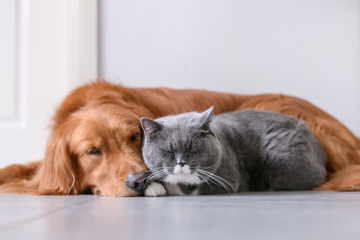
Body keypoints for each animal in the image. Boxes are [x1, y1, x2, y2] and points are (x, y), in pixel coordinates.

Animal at [141, 108, 326, 196]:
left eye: (193, 149)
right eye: (168, 151)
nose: (181, 163)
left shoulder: (227, 180)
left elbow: (193, 189)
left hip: (281, 162)